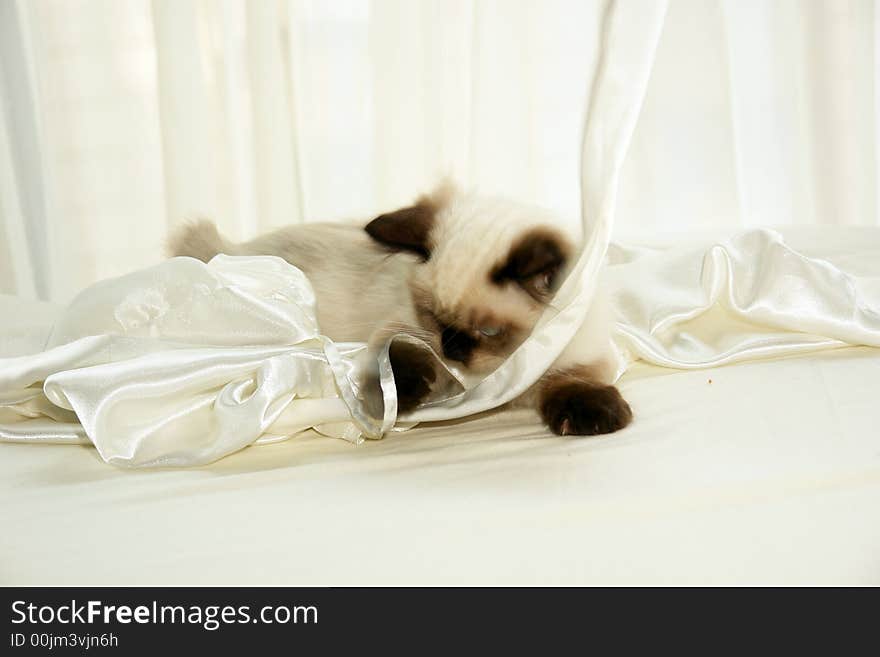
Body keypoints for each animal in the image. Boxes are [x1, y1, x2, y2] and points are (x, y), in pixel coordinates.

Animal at [168, 181, 628, 436]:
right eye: (433, 316)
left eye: (490, 333)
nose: (453, 348)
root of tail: (231, 248)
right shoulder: (400, 331)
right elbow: (397, 358)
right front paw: (404, 394)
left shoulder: (575, 361)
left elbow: (572, 383)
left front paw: (596, 417)